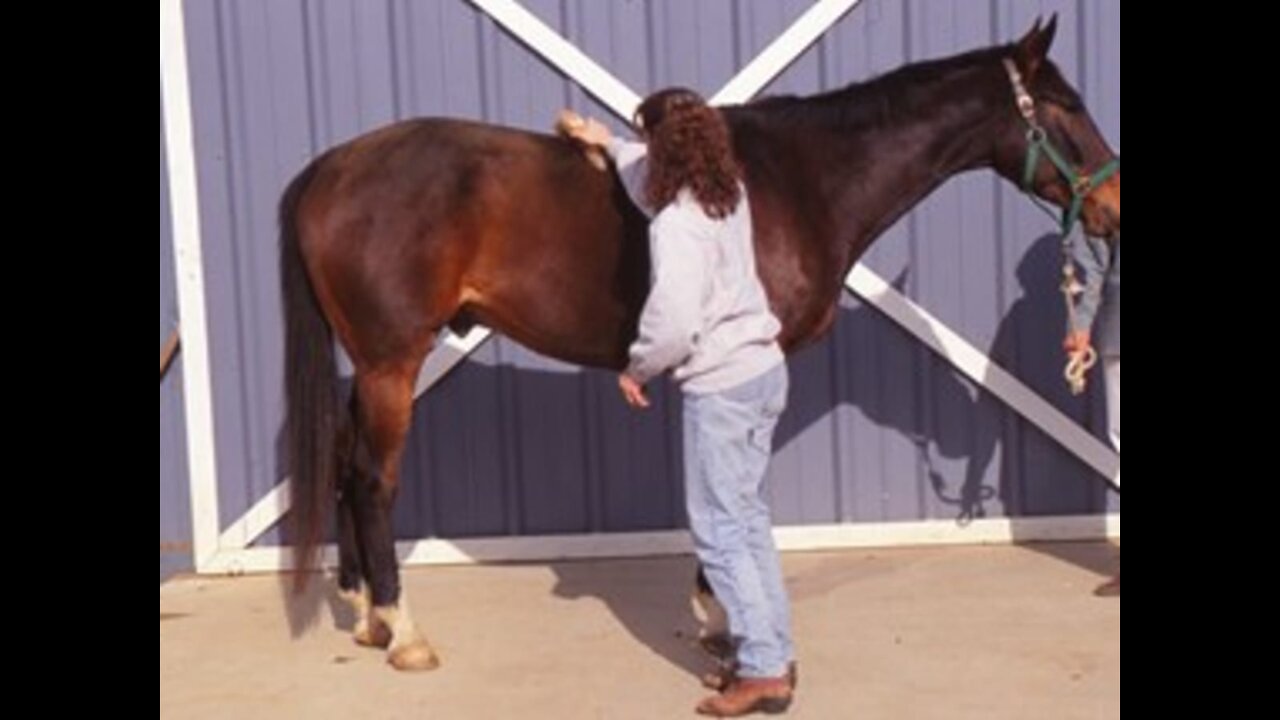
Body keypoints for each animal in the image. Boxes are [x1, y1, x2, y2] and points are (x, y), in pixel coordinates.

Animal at [280, 18, 1121, 666]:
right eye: (1067, 105)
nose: (1112, 205)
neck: (796, 179)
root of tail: (331, 165)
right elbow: (735, 486)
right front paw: (723, 620)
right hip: (393, 362)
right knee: (373, 481)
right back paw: (405, 634)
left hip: (372, 366)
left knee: (345, 464)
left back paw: (366, 615)